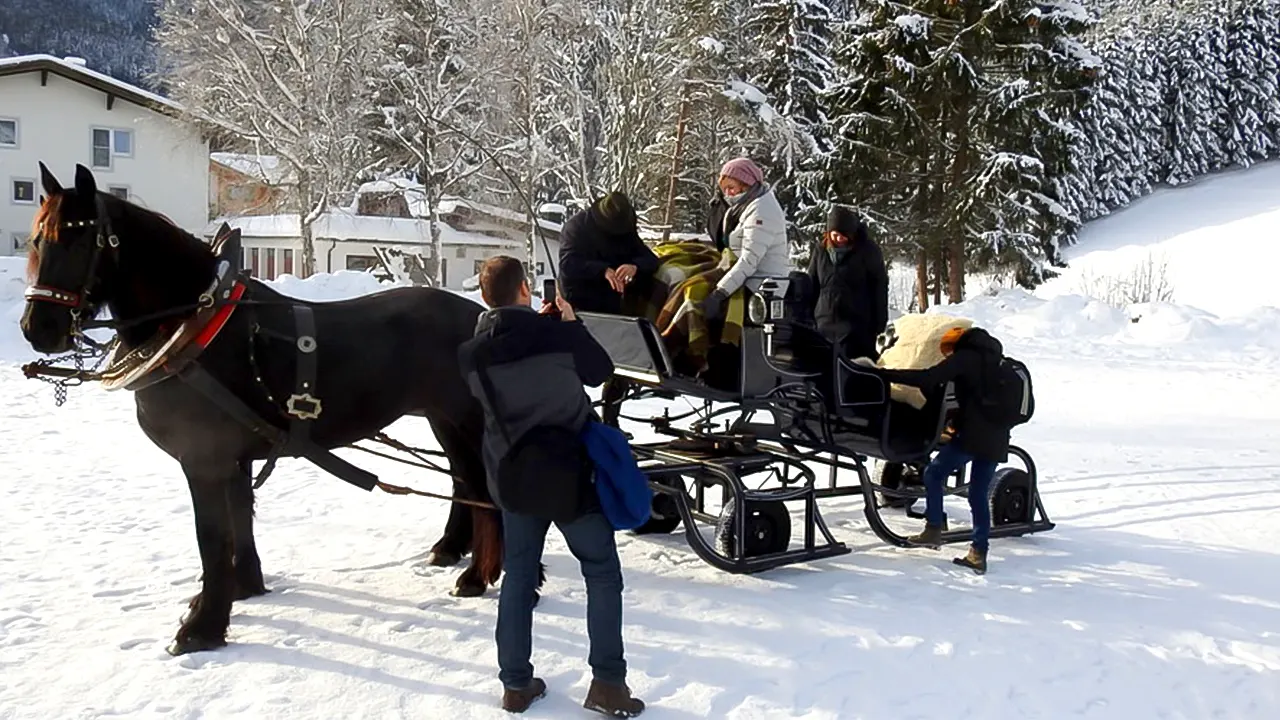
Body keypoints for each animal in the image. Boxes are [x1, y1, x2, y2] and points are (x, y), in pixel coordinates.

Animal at [21, 161, 499, 650]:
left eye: (79, 240)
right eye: (36, 240)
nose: (38, 328)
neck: (196, 325)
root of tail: (482, 318)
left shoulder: (205, 459)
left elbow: (212, 537)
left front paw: (203, 626)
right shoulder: (235, 457)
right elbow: (239, 521)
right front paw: (242, 587)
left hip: (470, 421)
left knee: (487, 492)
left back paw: (479, 577)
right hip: (444, 420)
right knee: (463, 481)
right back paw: (451, 550)